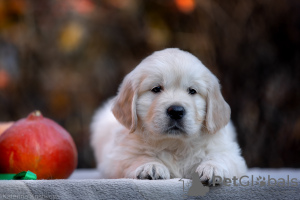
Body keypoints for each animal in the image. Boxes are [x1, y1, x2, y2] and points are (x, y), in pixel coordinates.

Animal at [90, 48, 247, 183]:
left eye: (192, 91)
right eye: (156, 89)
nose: (176, 111)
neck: (174, 144)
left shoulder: (230, 154)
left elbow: (221, 156)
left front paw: (212, 168)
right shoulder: (116, 158)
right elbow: (137, 157)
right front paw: (151, 165)